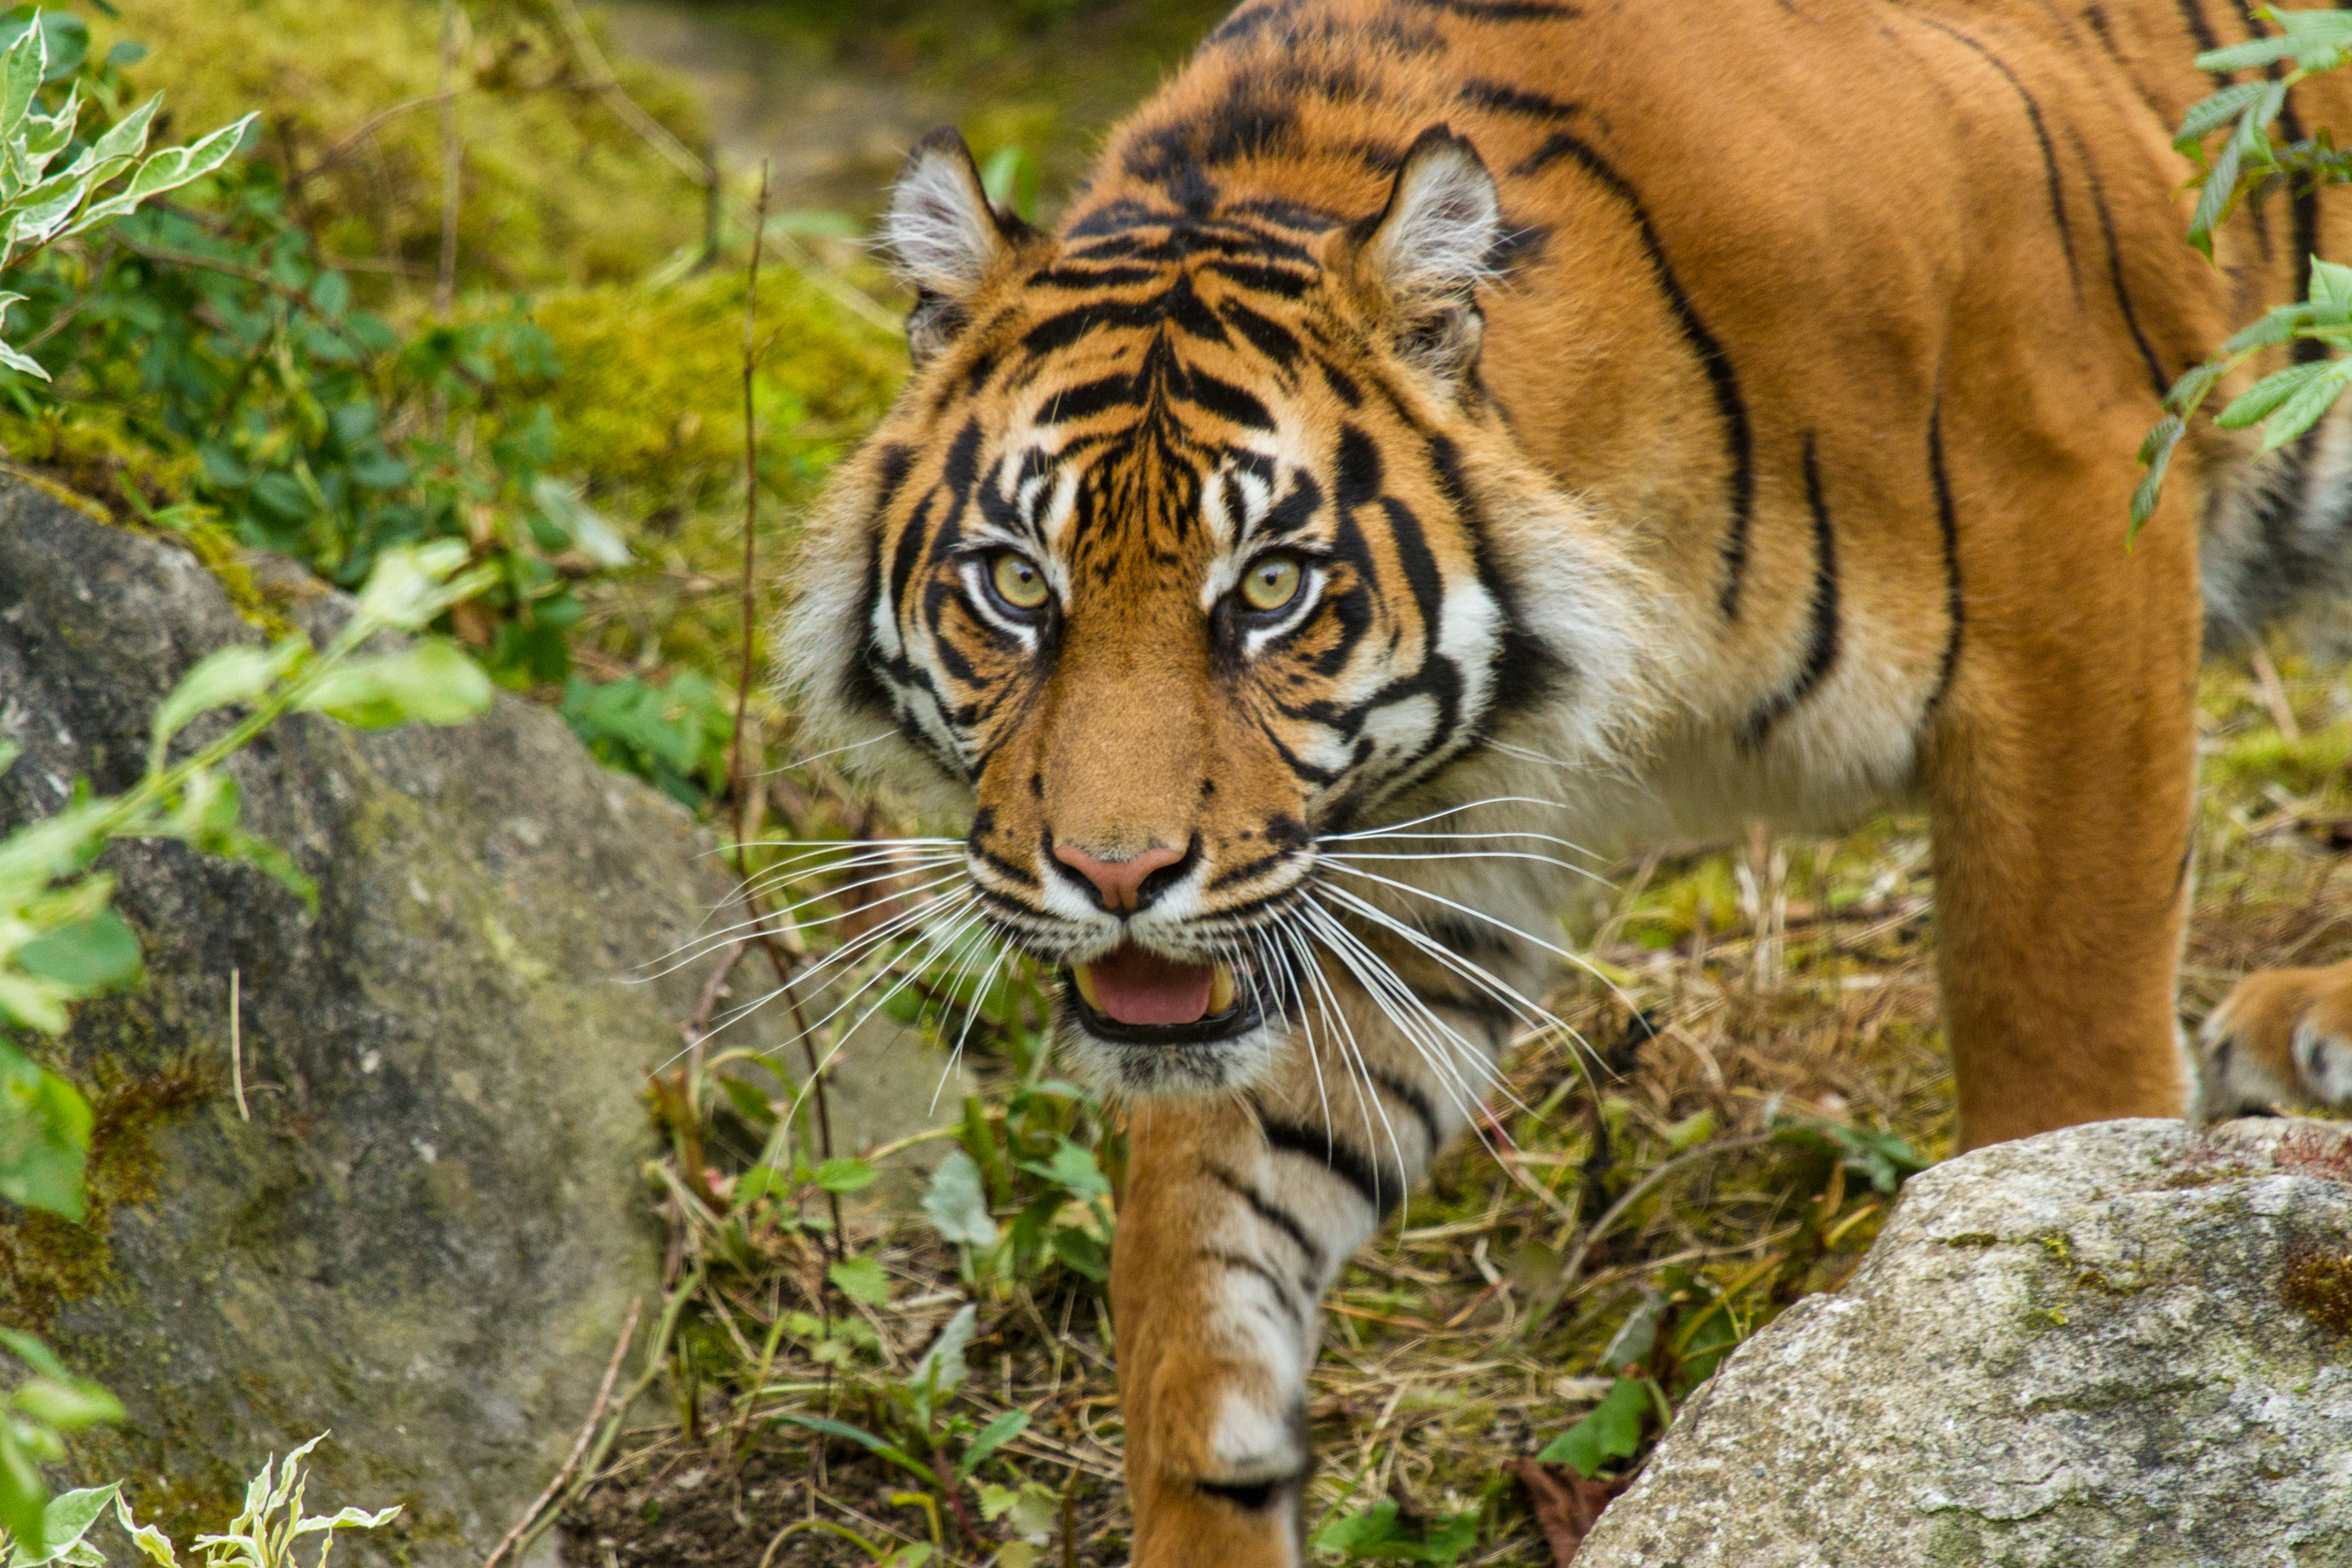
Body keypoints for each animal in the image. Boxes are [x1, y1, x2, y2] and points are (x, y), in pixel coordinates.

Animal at [785, 0, 2352, 1561]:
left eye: (1272, 588)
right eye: (1014, 584)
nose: (1115, 875)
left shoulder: (2076, 556)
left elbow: (2059, 1044)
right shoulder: (1394, 862)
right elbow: (1202, 1247)